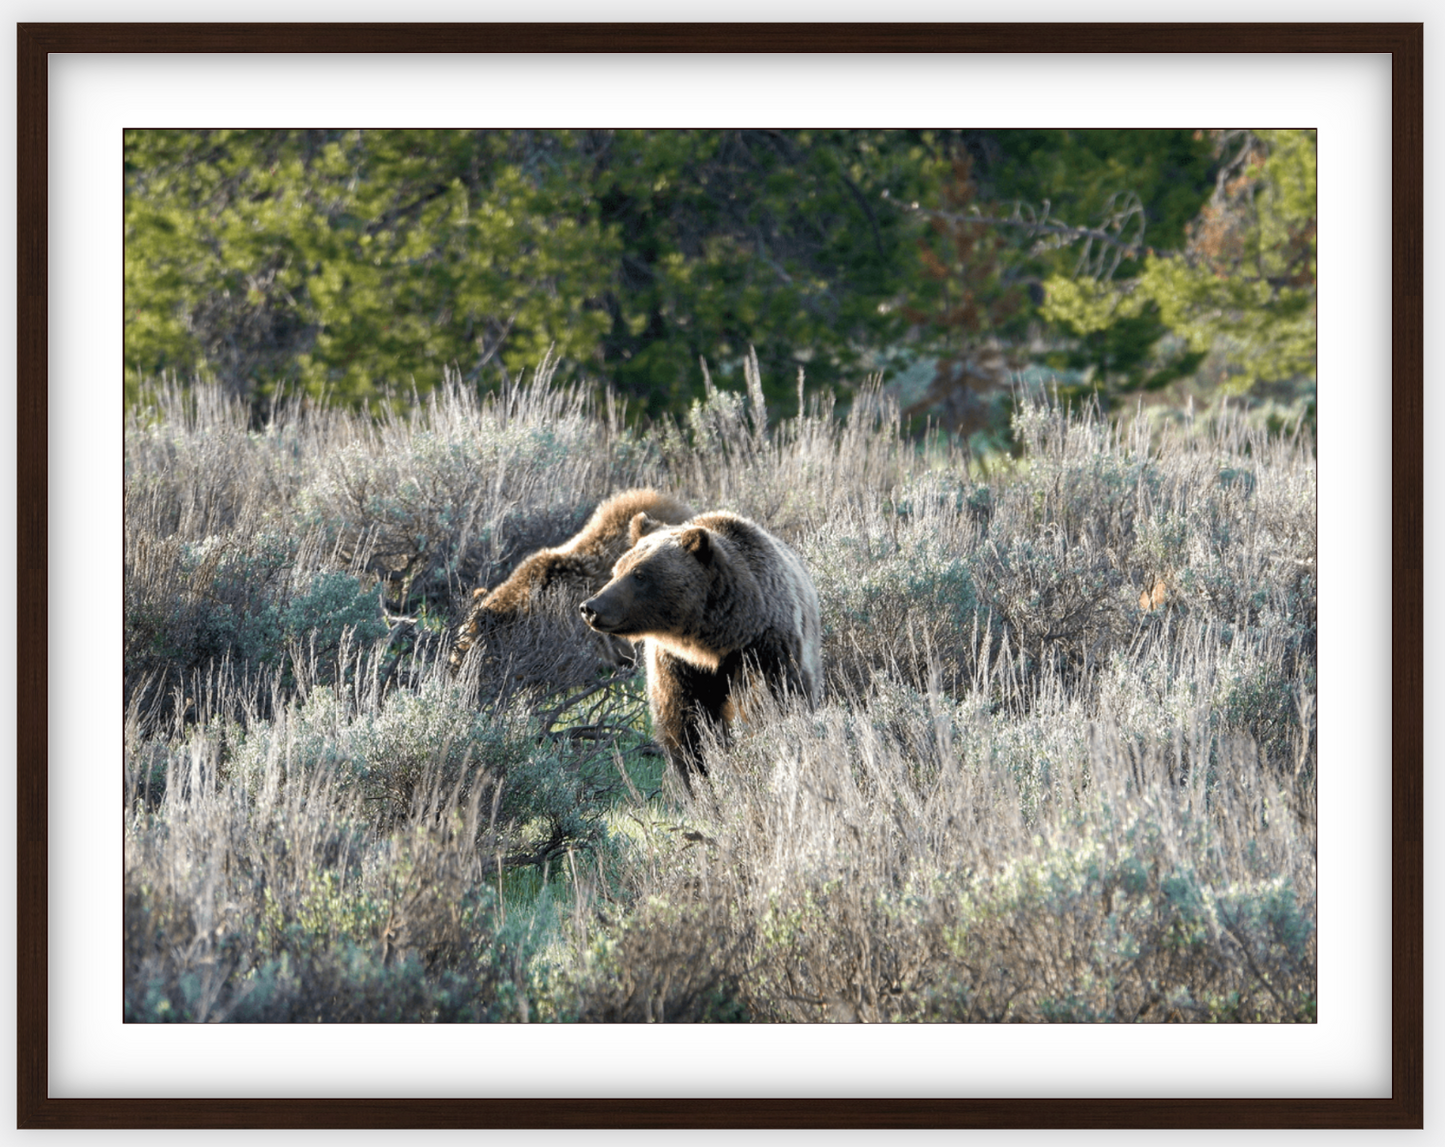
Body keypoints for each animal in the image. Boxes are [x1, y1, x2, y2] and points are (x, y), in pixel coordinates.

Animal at [579, 509, 822, 789]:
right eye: (617, 569)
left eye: (639, 575)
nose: (590, 607)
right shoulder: (676, 664)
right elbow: (684, 723)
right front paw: (696, 775)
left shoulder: (763, 647)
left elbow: (771, 701)